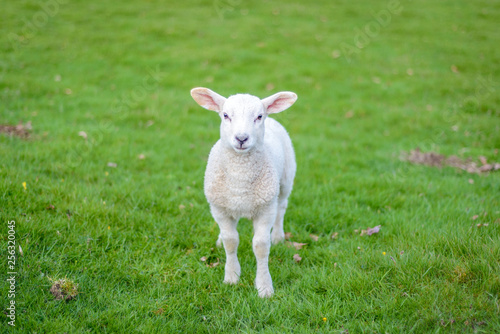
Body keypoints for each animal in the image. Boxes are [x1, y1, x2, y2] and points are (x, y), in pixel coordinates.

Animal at [189, 87, 294, 298]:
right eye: (225, 115)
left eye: (259, 116)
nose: (241, 138)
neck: (240, 178)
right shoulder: (220, 208)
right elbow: (231, 241)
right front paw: (231, 277)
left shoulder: (265, 209)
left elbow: (261, 246)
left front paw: (264, 287)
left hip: (285, 180)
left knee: (281, 208)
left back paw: (278, 236)